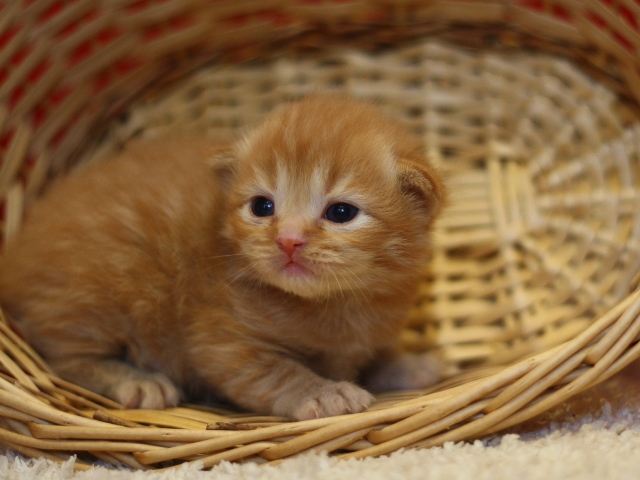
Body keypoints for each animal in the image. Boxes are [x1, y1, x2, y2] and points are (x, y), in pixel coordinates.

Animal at [0, 95, 444, 418]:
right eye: (262, 207)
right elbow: (277, 371)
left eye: (340, 213)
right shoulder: (221, 339)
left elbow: (374, 354)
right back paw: (135, 380)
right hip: (95, 291)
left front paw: (409, 364)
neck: (339, 303)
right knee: (63, 358)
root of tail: (18, 251)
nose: (288, 240)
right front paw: (322, 392)